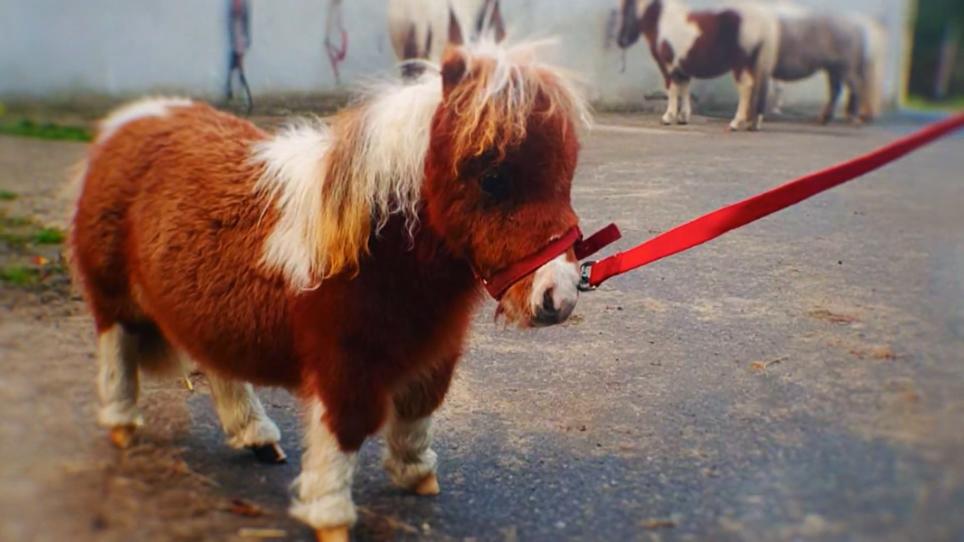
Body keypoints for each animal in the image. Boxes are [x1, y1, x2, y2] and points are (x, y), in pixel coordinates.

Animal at [69, 37, 589, 542]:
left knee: (216, 364)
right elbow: (345, 429)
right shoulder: (344, 365)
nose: (558, 297)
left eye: (566, 176)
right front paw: (331, 516)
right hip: (113, 296)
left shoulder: (433, 353)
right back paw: (122, 426)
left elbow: (419, 410)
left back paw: (256, 436)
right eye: (493, 177)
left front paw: (416, 473)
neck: (371, 247)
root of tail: (130, 121)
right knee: (117, 349)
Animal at [615, 0, 780, 131]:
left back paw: (736, 123)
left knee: (746, 88)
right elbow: (684, 88)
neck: (663, 22)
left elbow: (672, 89)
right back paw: (753, 124)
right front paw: (683, 117)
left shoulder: (668, 66)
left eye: (626, 7)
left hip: (740, 65)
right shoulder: (682, 67)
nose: (621, 40)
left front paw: (668, 117)